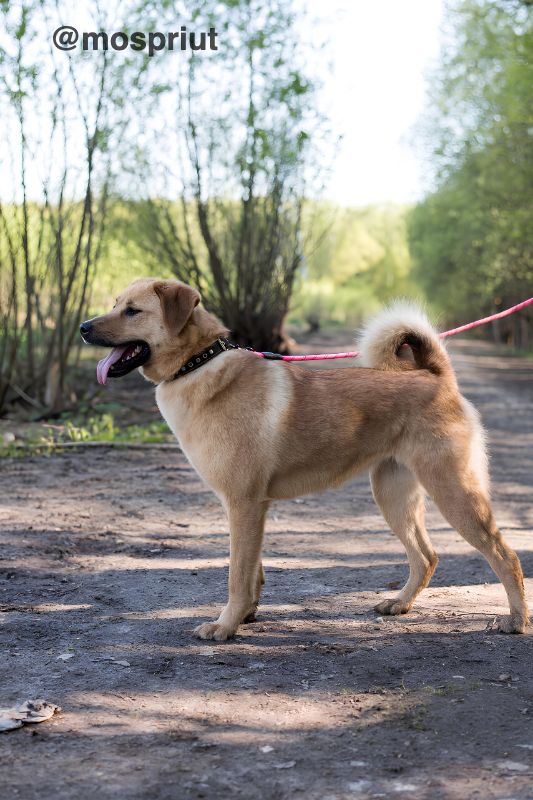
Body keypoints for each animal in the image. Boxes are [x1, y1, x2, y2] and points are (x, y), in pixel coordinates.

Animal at [79, 278, 528, 640]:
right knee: (426, 556)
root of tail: (436, 377)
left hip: (453, 493)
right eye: (115, 303)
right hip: (393, 496)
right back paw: (399, 604)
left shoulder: (244, 504)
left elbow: (237, 576)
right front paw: (246, 617)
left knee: (504, 555)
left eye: (132, 310)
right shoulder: (248, 509)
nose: (83, 327)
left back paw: (517, 620)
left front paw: (225, 626)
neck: (198, 363)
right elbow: (253, 573)